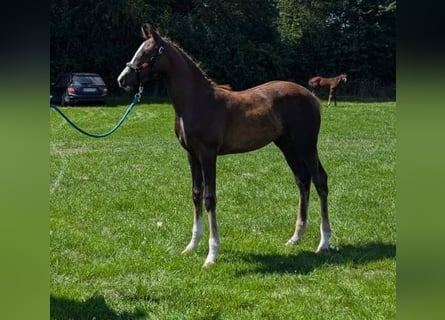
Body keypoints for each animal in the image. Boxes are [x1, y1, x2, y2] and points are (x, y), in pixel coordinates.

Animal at [117, 23, 330, 266]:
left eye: (148, 53)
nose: (122, 79)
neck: (196, 101)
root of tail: (311, 96)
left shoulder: (208, 155)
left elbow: (210, 198)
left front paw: (211, 254)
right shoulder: (192, 156)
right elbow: (196, 194)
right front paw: (191, 246)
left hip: (307, 145)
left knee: (320, 180)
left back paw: (324, 242)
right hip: (286, 145)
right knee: (302, 180)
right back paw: (295, 237)